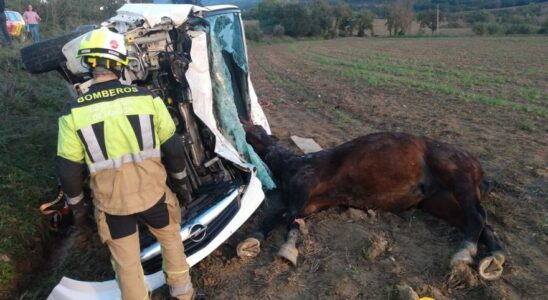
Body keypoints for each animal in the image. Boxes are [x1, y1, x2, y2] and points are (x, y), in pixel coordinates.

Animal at [239, 123, 506, 282]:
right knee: (481, 224)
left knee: (476, 217)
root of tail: (476, 165)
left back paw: (464, 254)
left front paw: (287, 250)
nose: (244, 123)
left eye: (256, 131)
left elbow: (289, 220)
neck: (291, 164)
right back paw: (494, 257)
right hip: (441, 203)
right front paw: (252, 241)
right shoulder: (306, 204)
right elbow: (275, 217)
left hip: (458, 179)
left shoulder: (303, 191)